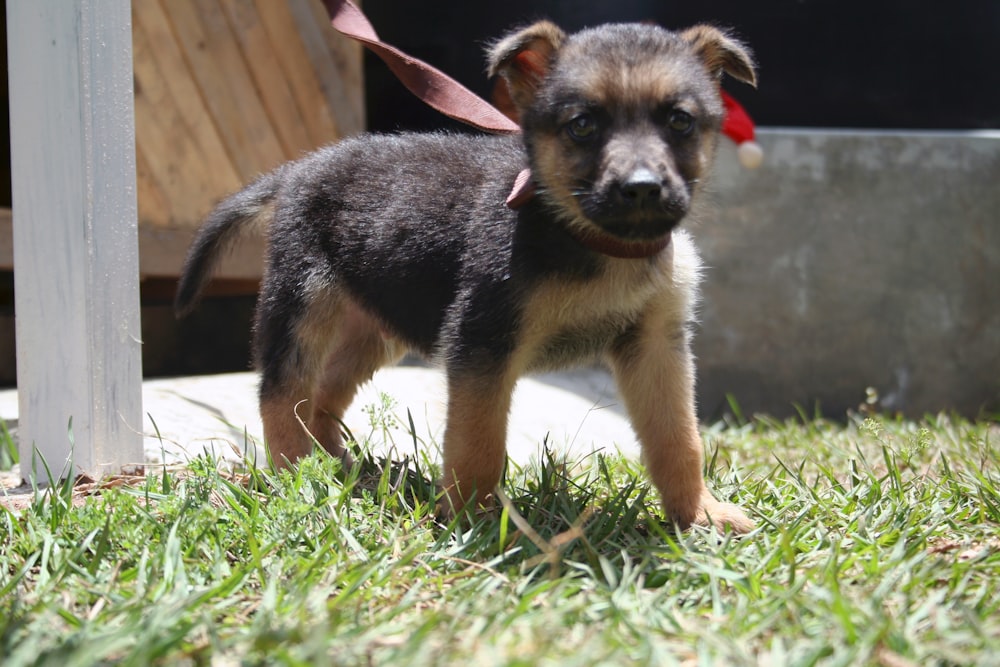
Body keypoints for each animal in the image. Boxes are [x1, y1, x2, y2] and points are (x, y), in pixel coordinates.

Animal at [178, 19, 756, 532]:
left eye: (680, 121)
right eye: (582, 125)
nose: (641, 189)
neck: (590, 238)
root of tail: (299, 169)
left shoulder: (656, 346)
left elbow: (678, 439)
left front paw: (698, 514)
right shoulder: (482, 346)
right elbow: (478, 445)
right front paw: (474, 523)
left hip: (376, 329)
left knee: (321, 396)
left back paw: (339, 467)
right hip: (302, 304)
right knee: (281, 392)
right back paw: (296, 477)